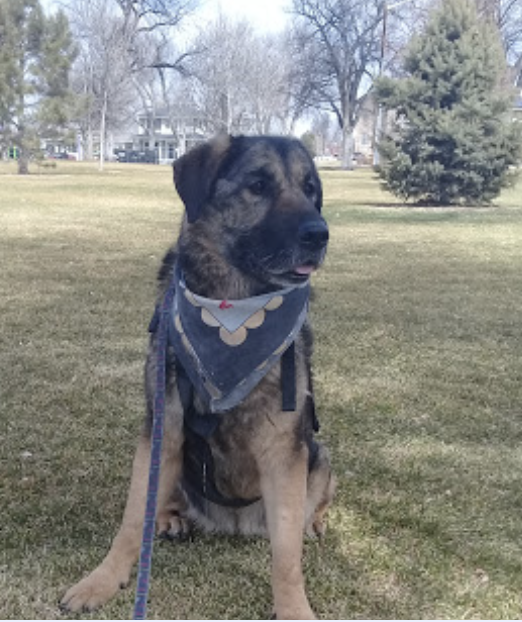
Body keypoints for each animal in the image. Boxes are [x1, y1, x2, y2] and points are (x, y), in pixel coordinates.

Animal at [60, 135, 334, 620]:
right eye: (258, 185)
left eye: (310, 189)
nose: (319, 234)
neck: (231, 313)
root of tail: (233, 526)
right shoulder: (162, 429)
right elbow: (132, 519)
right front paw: (103, 581)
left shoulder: (284, 451)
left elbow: (286, 558)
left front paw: (294, 609)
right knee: (162, 500)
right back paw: (170, 518)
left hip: (319, 455)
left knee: (310, 506)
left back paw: (314, 522)